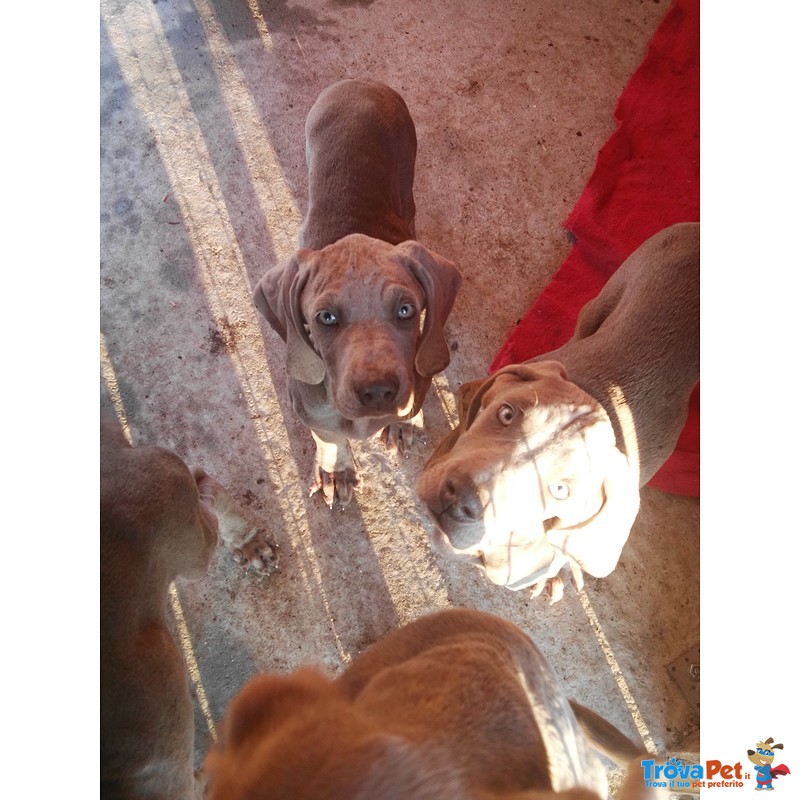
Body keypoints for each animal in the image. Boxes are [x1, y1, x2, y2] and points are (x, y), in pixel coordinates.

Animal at [253, 78, 460, 510]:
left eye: (406, 310)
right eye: (326, 318)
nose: (378, 391)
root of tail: (361, 82)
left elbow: (412, 407)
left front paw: (402, 425)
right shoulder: (310, 410)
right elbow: (330, 438)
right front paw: (336, 471)